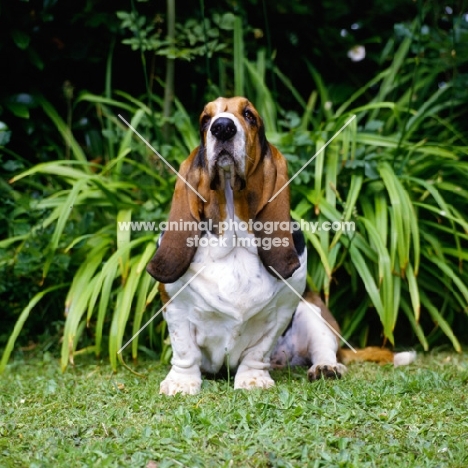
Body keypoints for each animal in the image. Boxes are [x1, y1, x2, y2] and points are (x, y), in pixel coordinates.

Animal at [146, 98, 348, 394]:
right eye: (205, 120)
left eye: (249, 115)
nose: (222, 127)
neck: (233, 244)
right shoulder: (176, 307)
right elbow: (185, 351)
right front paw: (181, 382)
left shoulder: (282, 312)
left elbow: (258, 351)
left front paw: (253, 379)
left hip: (312, 311)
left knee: (324, 347)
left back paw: (326, 368)